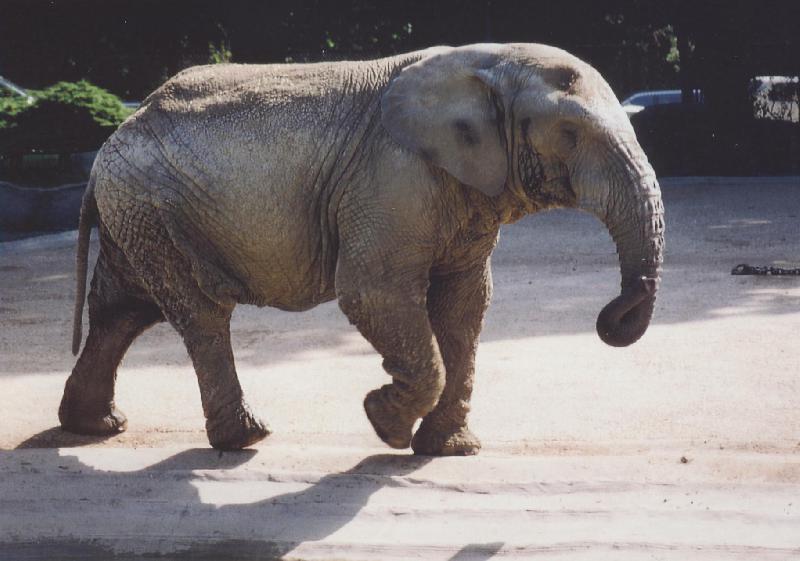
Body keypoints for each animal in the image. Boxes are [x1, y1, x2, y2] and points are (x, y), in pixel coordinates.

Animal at [59, 43, 664, 455]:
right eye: (570, 133)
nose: (610, 316)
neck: (484, 64)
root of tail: (111, 140)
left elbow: (464, 304)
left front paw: (447, 450)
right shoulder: (392, 177)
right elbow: (373, 293)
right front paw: (383, 423)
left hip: (138, 211)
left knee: (124, 308)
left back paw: (94, 427)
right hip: (150, 204)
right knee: (198, 313)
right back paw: (244, 440)